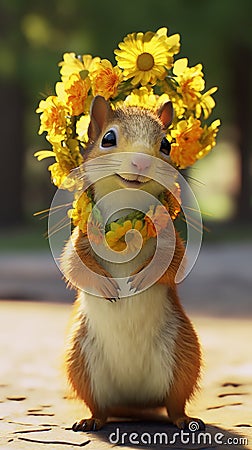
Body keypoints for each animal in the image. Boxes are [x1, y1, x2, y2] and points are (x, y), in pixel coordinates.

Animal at [61, 95, 205, 432]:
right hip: (79, 359)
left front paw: (140, 279)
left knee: (175, 402)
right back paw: (90, 420)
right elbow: (74, 265)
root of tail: (133, 402)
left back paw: (184, 420)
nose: (141, 162)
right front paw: (105, 285)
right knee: (98, 405)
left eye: (166, 144)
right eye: (108, 139)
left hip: (184, 355)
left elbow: (173, 265)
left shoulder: (170, 240)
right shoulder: (80, 239)